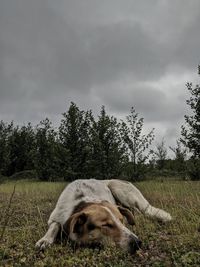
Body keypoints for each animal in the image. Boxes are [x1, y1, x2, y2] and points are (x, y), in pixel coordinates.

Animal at [35, 179, 171, 254]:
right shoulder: (56, 216)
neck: (82, 202)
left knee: (140, 211)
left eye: (122, 221)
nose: (138, 243)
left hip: (117, 187)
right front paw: (45, 240)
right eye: (106, 225)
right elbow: (54, 226)